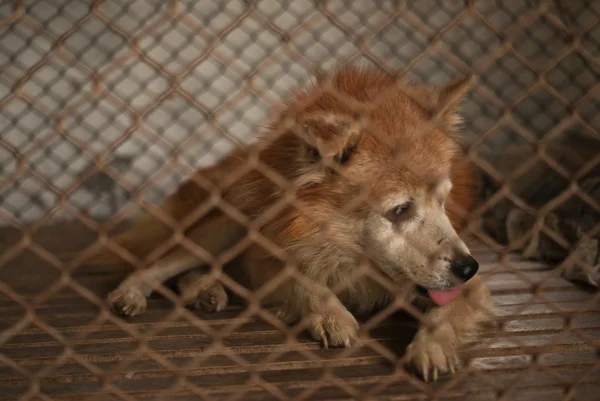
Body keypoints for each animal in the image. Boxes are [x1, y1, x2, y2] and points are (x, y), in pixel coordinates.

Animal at [88, 66, 492, 382]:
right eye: (400, 210)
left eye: (443, 200)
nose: (468, 267)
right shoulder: (266, 264)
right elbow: (303, 281)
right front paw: (331, 315)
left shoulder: (467, 288)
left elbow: (444, 312)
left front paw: (432, 348)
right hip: (227, 230)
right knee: (157, 263)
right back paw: (134, 293)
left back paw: (205, 290)